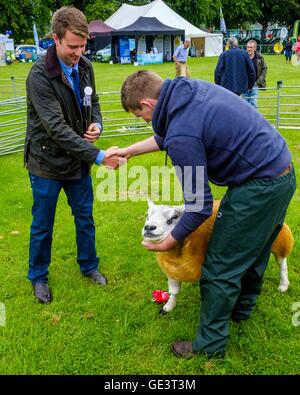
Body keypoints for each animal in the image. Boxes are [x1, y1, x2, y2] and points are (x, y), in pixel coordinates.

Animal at [142, 201, 292, 316]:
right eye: (147, 216)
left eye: (174, 217)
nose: (149, 227)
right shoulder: (172, 271)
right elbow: (174, 291)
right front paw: (168, 307)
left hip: (278, 237)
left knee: (281, 262)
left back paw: (283, 285)